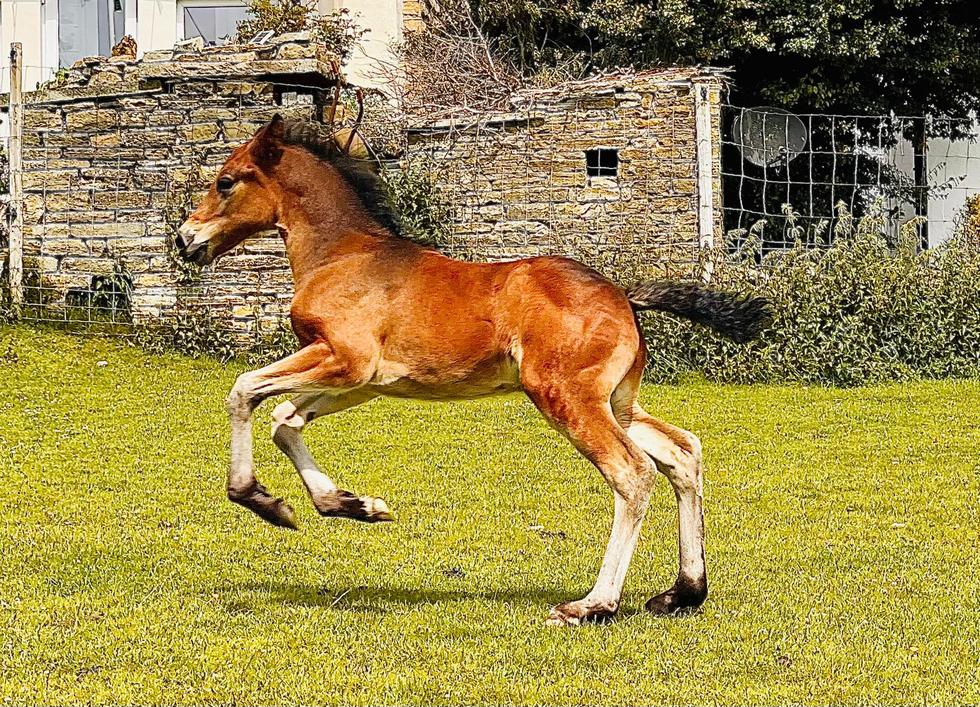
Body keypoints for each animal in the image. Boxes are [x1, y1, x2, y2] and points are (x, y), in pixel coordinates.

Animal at [176, 114, 771, 626]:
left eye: (225, 182)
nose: (185, 240)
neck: (342, 254)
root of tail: (623, 295)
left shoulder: (345, 359)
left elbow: (244, 390)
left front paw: (261, 500)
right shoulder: (365, 382)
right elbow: (285, 420)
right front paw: (351, 505)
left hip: (564, 396)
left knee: (632, 472)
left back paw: (591, 604)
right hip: (617, 401)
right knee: (682, 453)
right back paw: (683, 593)